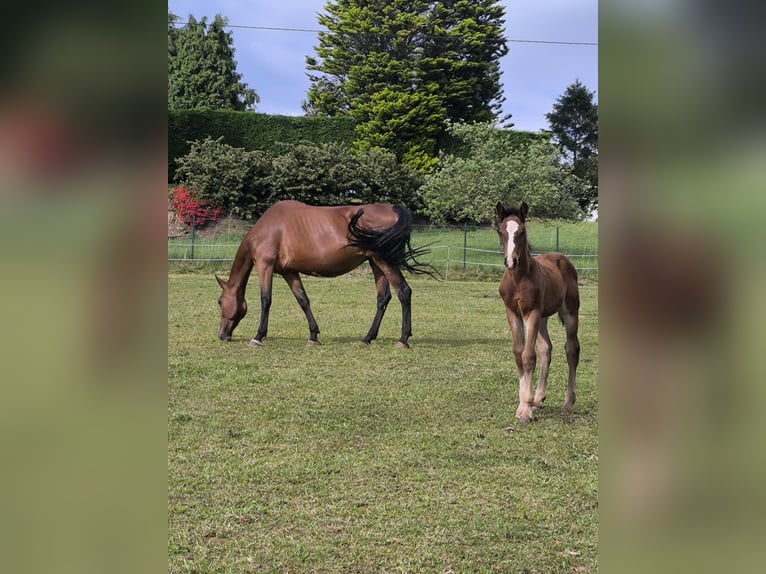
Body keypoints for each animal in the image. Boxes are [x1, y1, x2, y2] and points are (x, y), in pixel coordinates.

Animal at [216, 200, 432, 349]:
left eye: (219, 302)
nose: (222, 335)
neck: (267, 228)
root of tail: (394, 208)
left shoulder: (264, 266)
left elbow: (265, 300)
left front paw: (258, 336)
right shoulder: (289, 272)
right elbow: (303, 300)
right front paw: (313, 336)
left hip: (384, 262)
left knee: (404, 292)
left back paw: (403, 339)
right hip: (376, 263)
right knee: (383, 298)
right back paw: (367, 338)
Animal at [496, 202, 581, 422]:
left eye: (522, 231)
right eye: (500, 231)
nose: (511, 262)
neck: (518, 280)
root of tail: (562, 259)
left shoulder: (531, 312)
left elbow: (528, 356)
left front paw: (525, 410)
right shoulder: (512, 312)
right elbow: (519, 353)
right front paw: (524, 404)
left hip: (570, 312)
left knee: (572, 349)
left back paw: (567, 403)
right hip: (543, 318)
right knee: (546, 349)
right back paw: (538, 399)